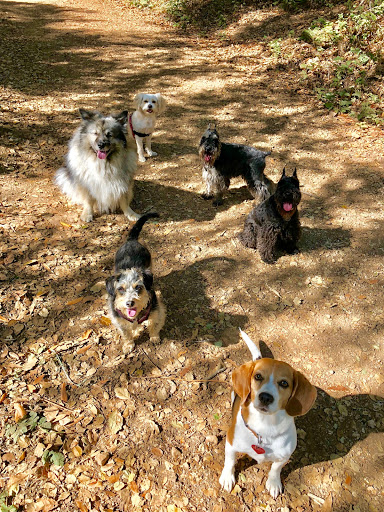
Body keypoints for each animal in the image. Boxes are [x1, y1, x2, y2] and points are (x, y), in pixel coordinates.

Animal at [106, 211, 166, 352]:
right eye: (120, 289)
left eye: (138, 287)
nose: (129, 303)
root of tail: (131, 240)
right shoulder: (119, 321)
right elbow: (126, 333)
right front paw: (128, 344)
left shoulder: (156, 311)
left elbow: (153, 325)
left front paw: (154, 337)